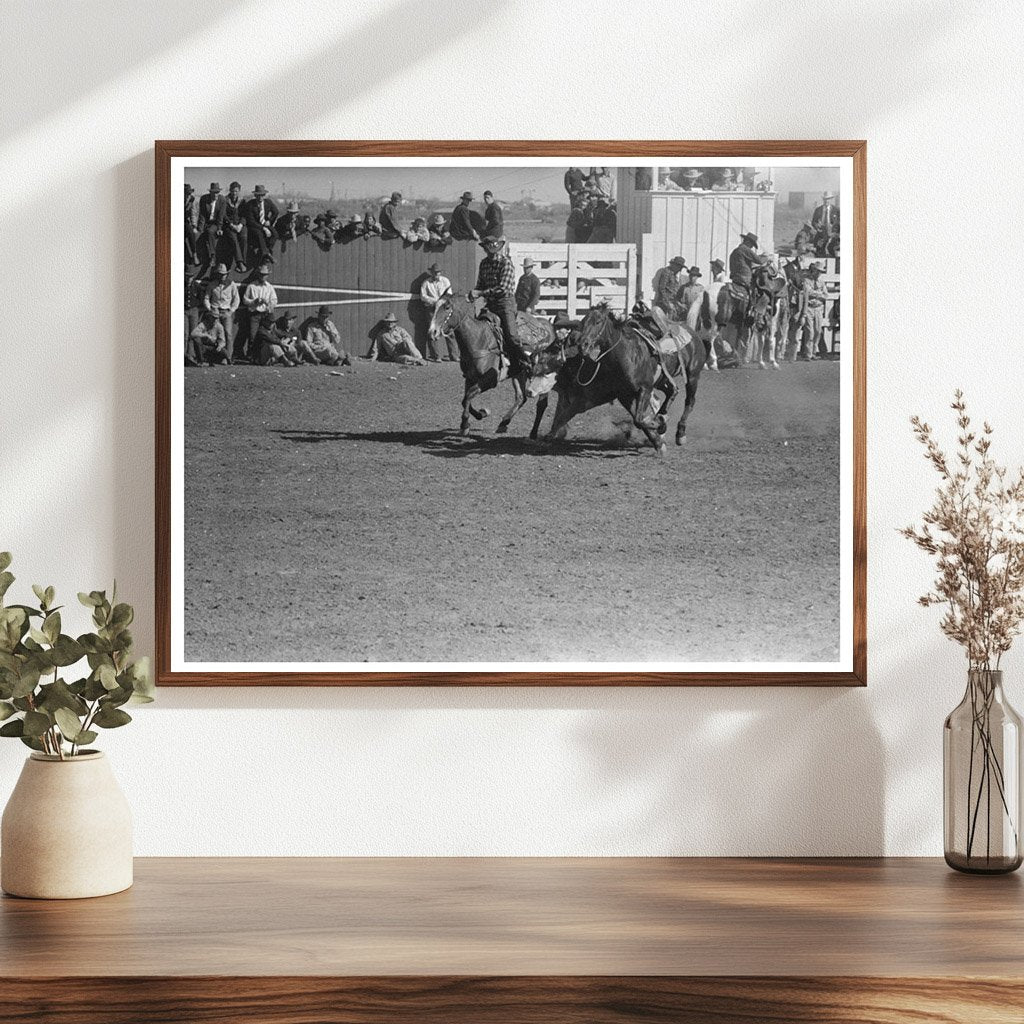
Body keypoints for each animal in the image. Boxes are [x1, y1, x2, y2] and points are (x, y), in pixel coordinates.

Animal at [423, 294, 552, 434]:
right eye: (434, 307)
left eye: (447, 307)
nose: (432, 332)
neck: (477, 340)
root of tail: (547, 326)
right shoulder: (470, 378)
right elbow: (465, 399)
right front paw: (481, 414)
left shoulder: (490, 380)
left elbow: (469, 395)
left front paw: (465, 424)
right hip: (519, 373)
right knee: (521, 397)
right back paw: (503, 423)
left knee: (541, 404)